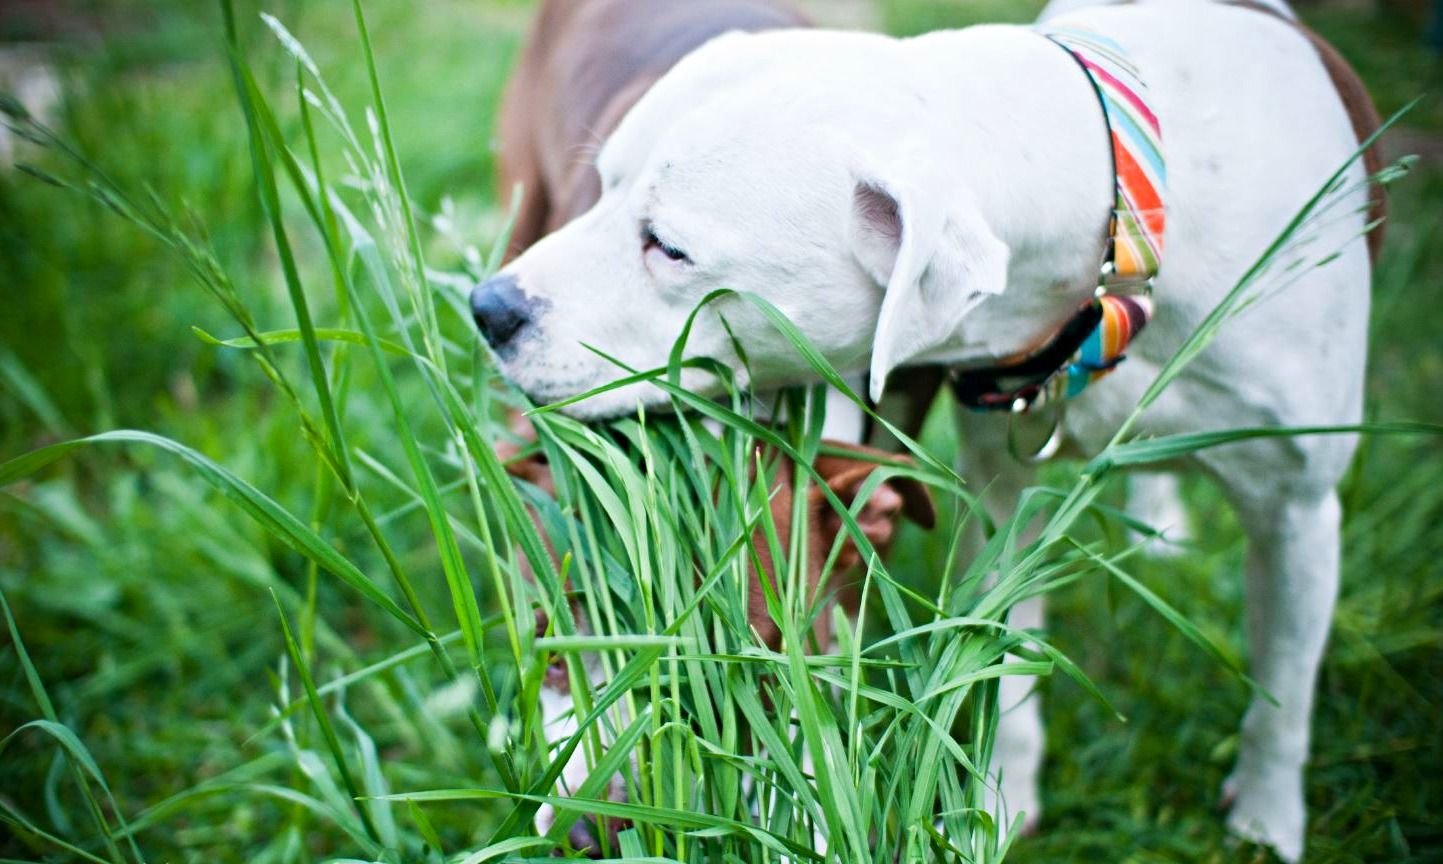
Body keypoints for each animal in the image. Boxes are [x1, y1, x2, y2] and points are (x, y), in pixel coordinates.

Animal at [470, 3, 1373, 859]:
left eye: (669, 247)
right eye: (603, 186)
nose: (491, 309)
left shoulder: (1298, 507)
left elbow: (1283, 690)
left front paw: (1264, 826)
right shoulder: (986, 484)